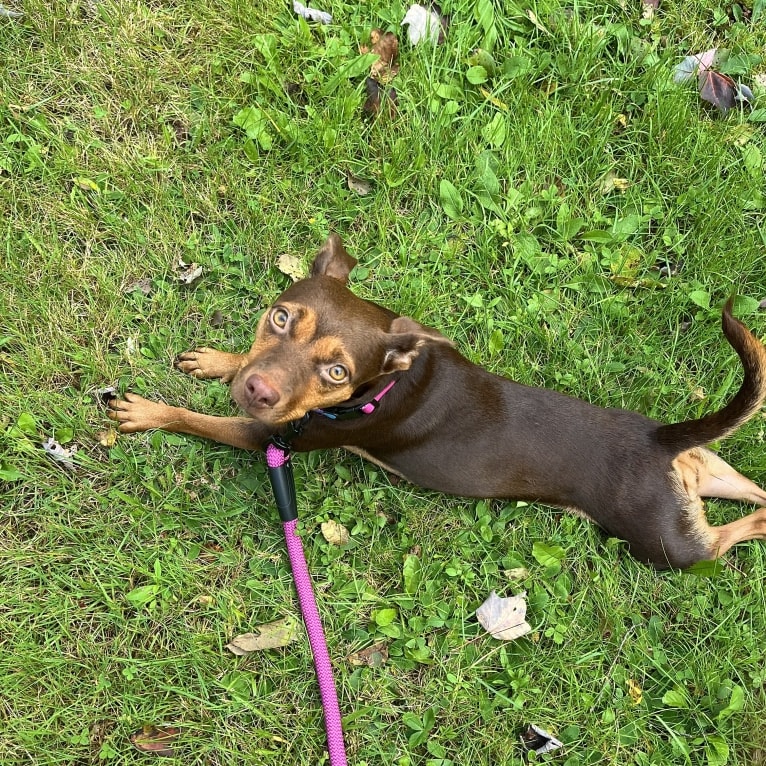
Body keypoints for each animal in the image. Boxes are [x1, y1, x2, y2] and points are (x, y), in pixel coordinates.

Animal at [111, 234, 766, 568]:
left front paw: (145, 412)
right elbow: (230, 368)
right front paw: (218, 362)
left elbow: (195, 419)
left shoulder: (268, 434)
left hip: (667, 545)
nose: (258, 390)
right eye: (280, 317)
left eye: (337, 372)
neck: (387, 383)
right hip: (707, 474)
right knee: (755, 489)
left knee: (729, 534)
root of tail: (663, 440)